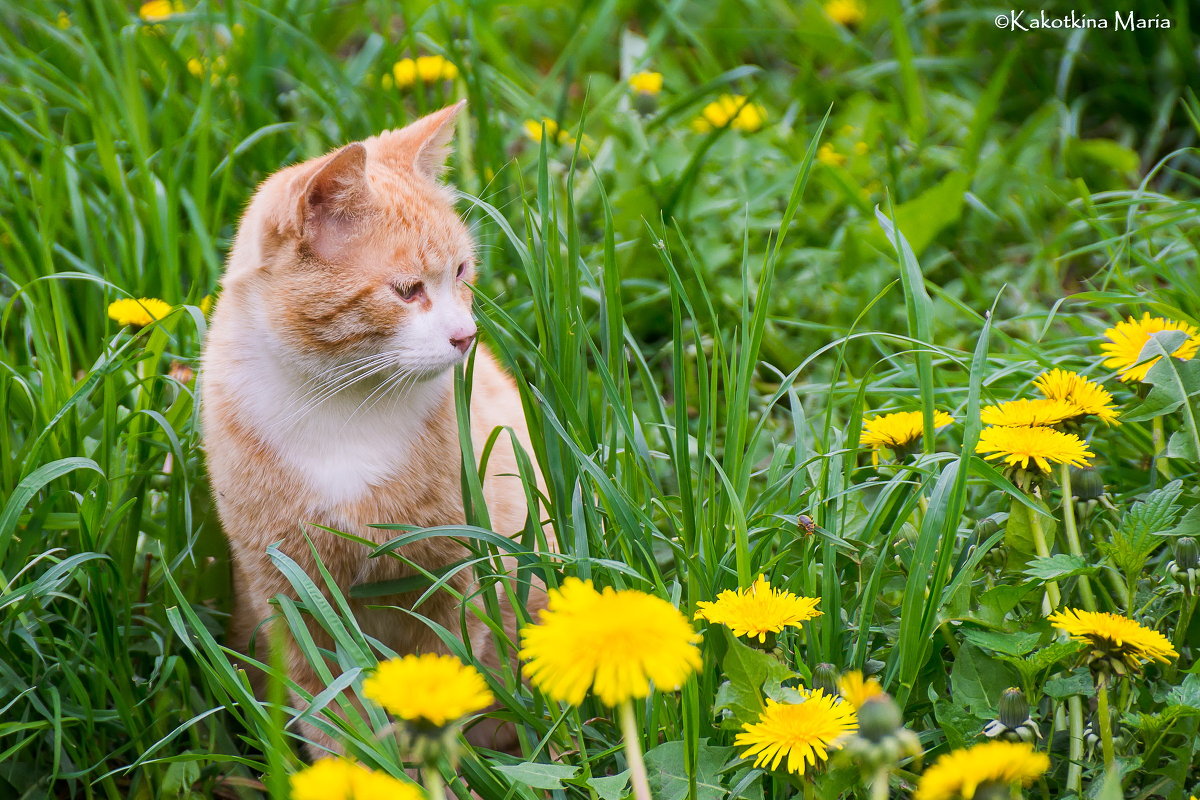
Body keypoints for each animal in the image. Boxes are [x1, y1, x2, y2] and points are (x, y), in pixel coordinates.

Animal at [201, 101, 549, 758]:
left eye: (461, 271)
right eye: (407, 290)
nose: (465, 336)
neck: (340, 406)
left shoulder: (452, 573)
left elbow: (441, 677)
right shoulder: (287, 591)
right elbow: (330, 712)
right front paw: (356, 768)